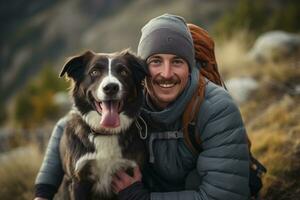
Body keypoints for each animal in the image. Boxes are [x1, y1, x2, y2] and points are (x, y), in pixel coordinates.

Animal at [58, 49, 147, 199]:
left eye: (124, 72)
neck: (105, 133)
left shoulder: (130, 170)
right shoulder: (78, 180)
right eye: (94, 72)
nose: (111, 87)